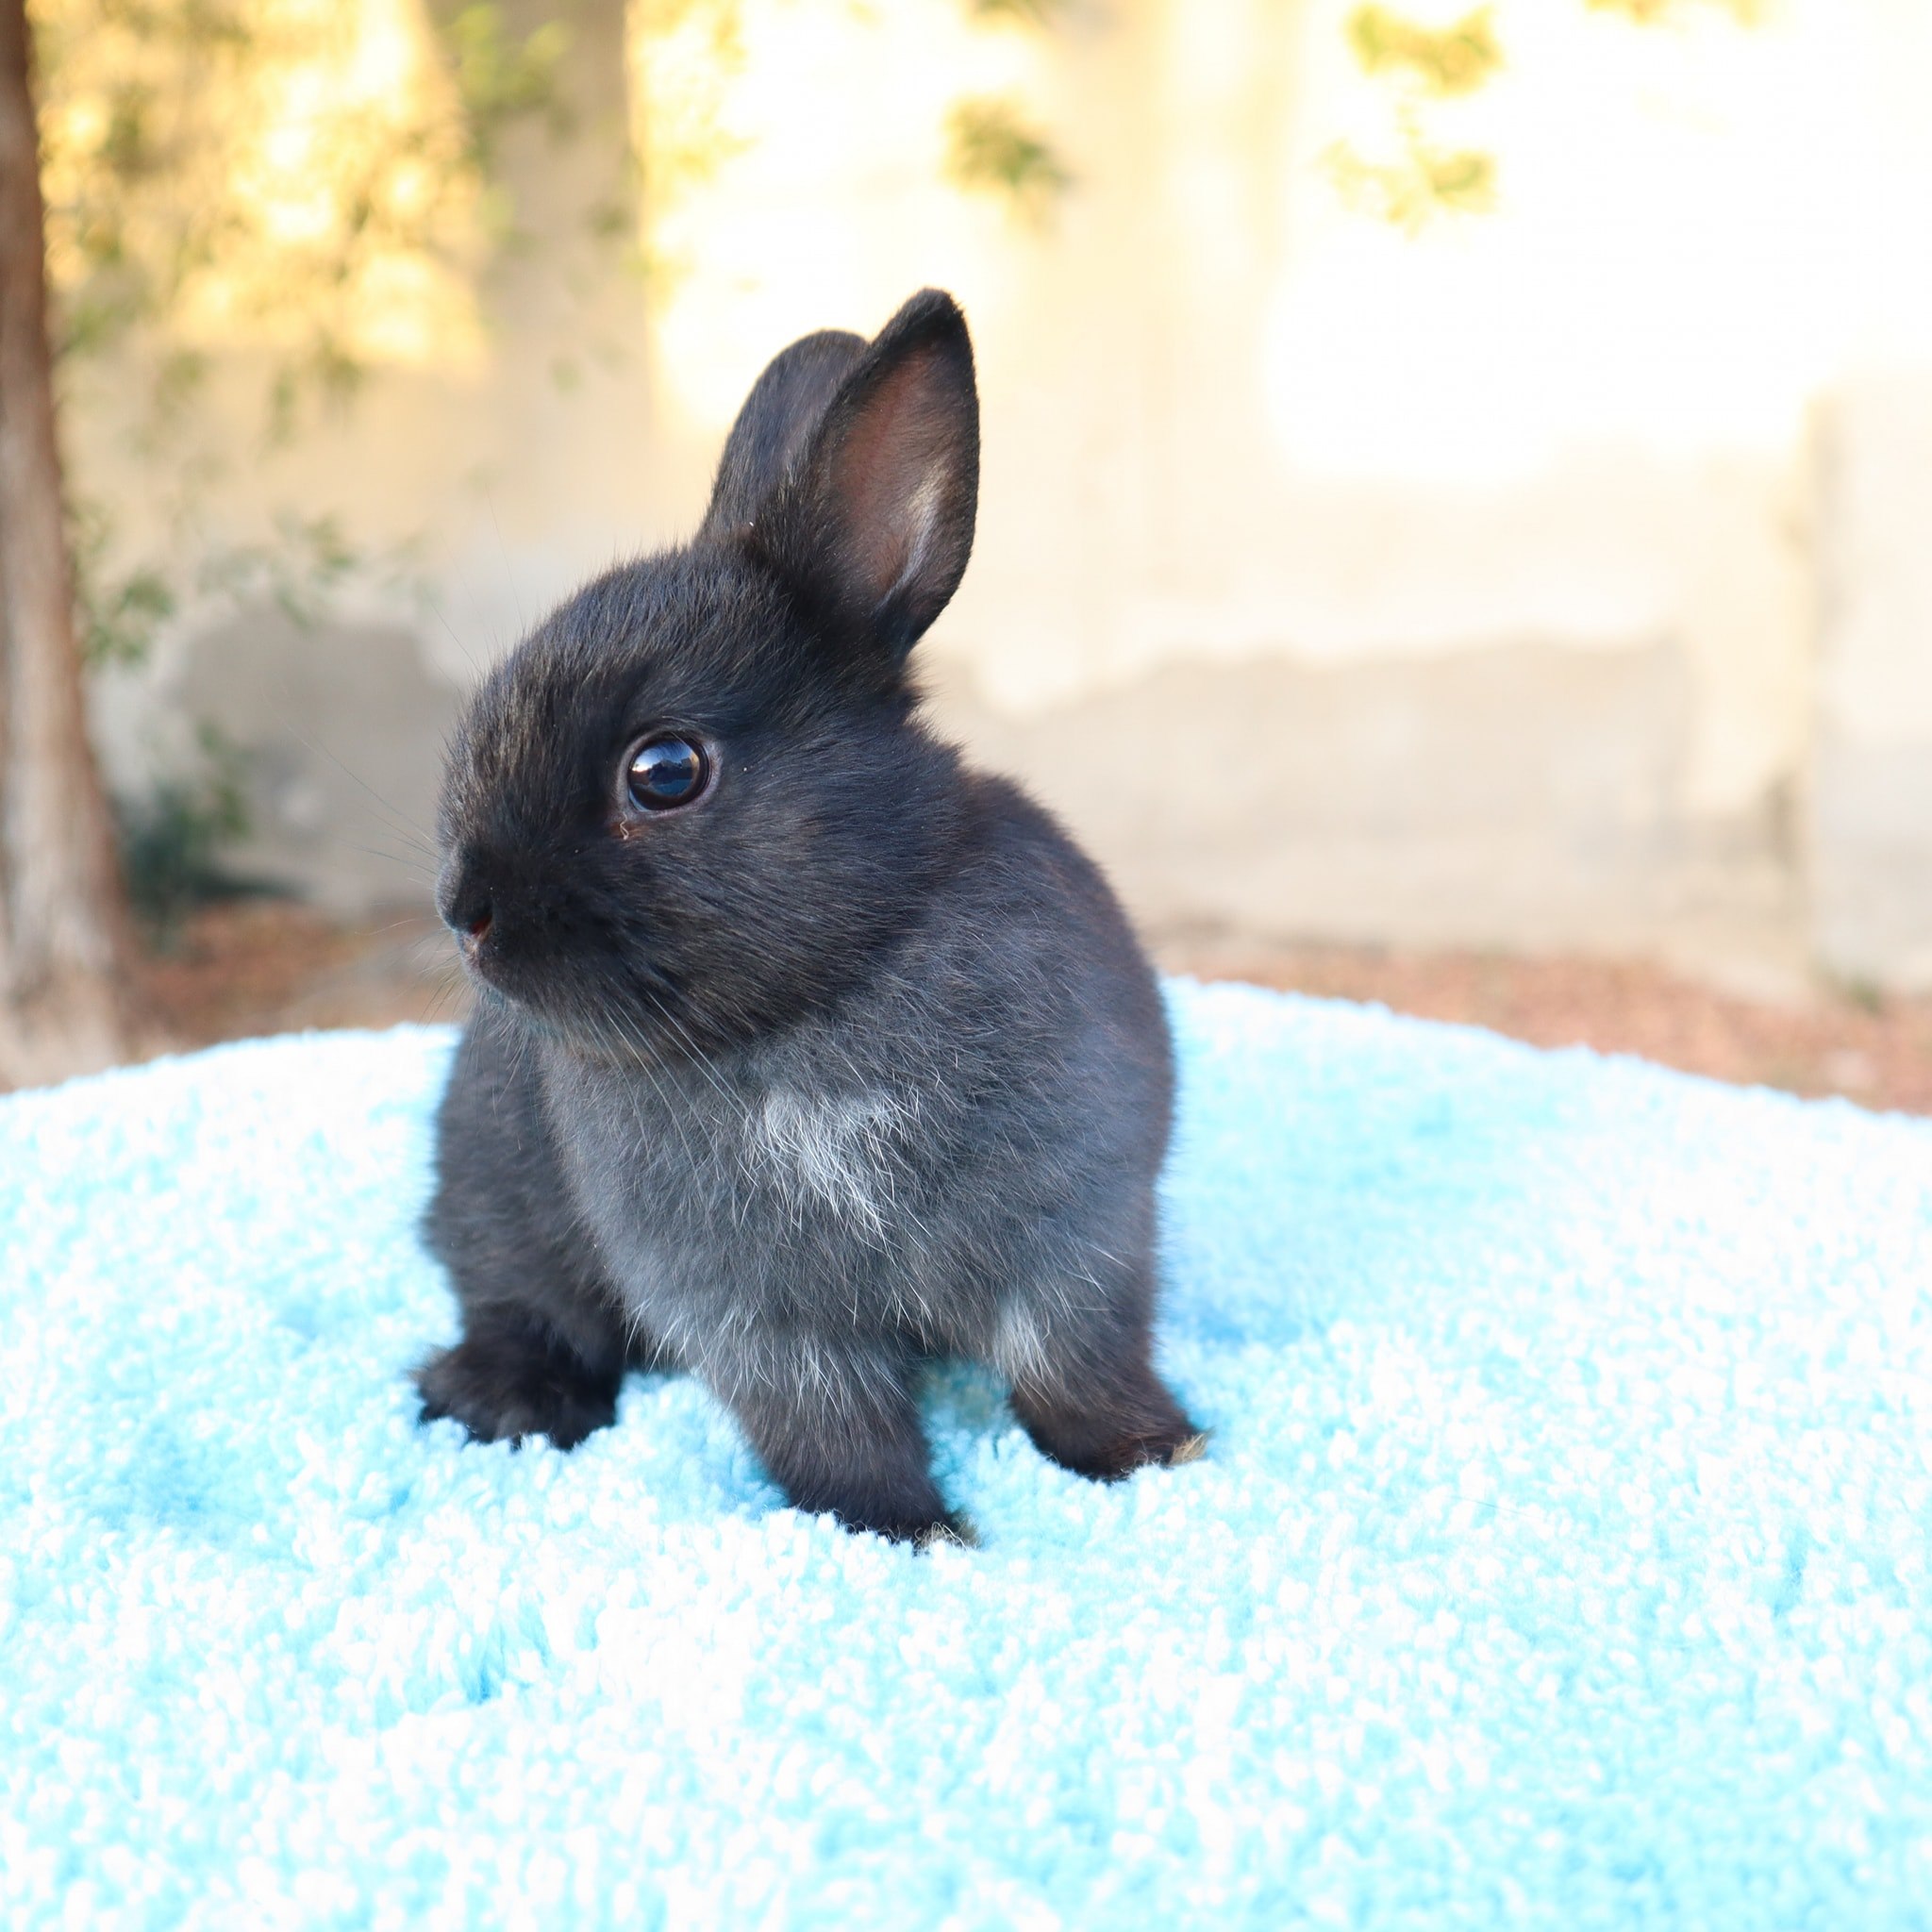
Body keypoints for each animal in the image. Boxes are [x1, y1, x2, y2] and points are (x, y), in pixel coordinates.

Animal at [416, 288, 1202, 1543]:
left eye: (665, 771)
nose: (464, 909)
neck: (821, 998)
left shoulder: (1078, 1231)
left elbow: (1075, 1363)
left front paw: (1153, 1451)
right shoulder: (756, 1315)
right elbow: (831, 1428)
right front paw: (908, 1530)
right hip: (492, 1203)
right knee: (516, 1302)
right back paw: (503, 1400)